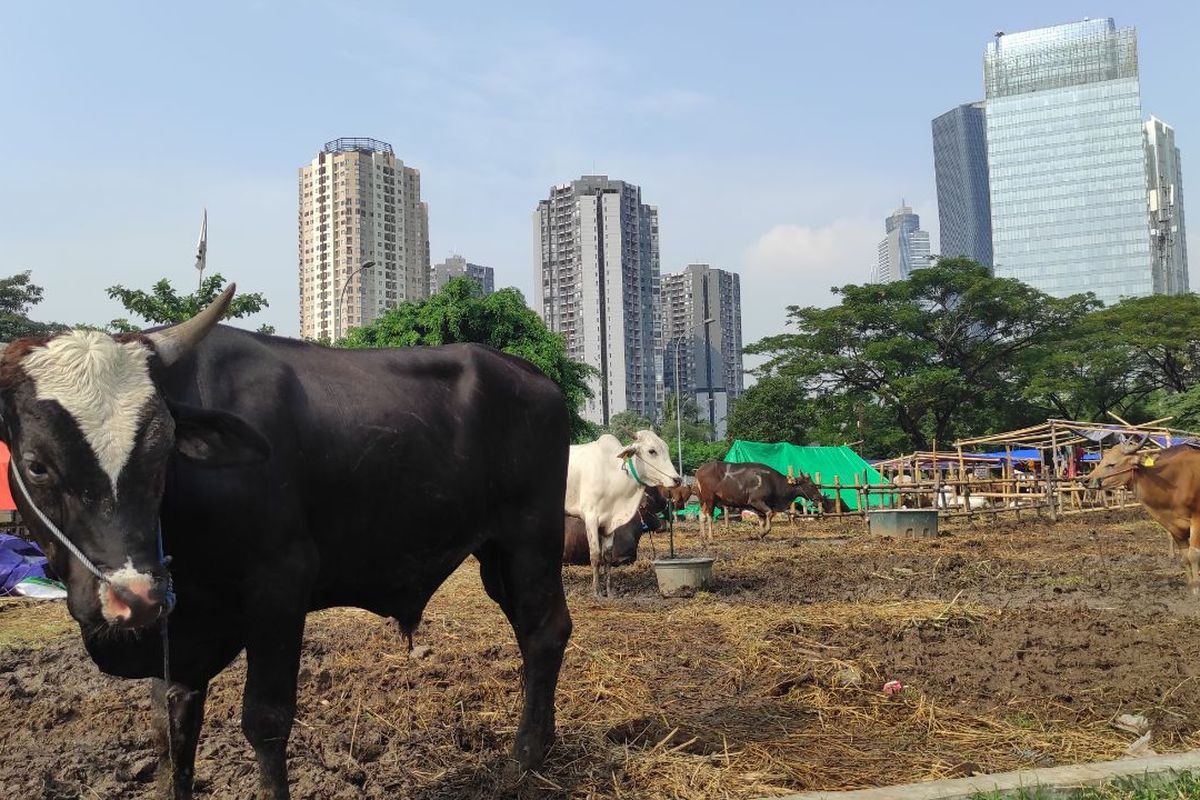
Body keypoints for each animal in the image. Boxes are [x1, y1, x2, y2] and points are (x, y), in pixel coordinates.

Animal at [0, 289, 571, 800]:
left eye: (161, 452)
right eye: (36, 464)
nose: (135, 598)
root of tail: (536, 377)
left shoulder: (279, 583)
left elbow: (265, 718)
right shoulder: (179, 630)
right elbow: (172, 726)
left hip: (532, 539)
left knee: (545, 632)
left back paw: (523, 761)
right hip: (496, 555)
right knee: (532, 633)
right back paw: (542, 743)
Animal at [564, 431, 681, 594]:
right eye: (651, 451)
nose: (677, 479)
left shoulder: (609, 523)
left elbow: (606, 556)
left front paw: (609, 591)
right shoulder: (591, 518)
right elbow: (595, 556)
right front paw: (597, 591)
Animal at [1094, 438, 1200, 594]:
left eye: (1111, 464)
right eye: (1102, 461)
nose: (1086, 480)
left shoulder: (1197, 520)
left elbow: (1193, 555)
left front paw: (1197, 588)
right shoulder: (1174, 527)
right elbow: (1185, 557)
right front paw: (1192, 588)